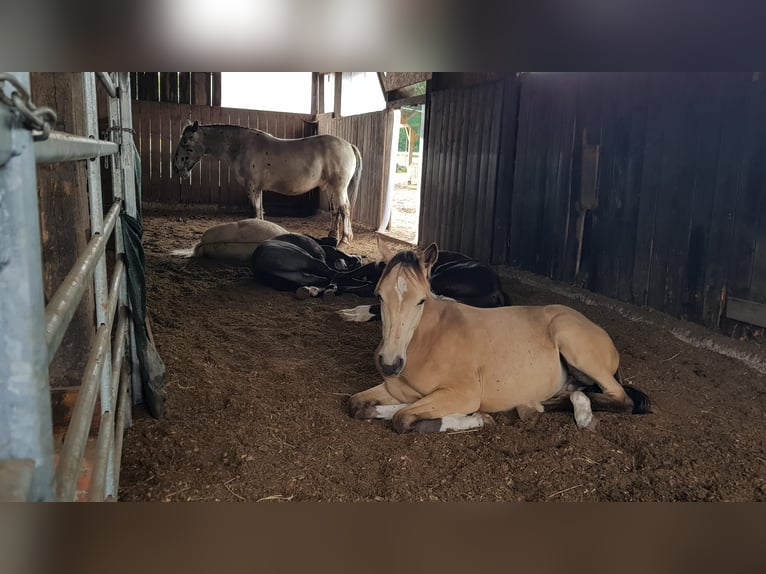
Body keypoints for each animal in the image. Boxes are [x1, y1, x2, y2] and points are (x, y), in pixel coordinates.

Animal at [172, 121, 363, 245]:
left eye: (185, 142)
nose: (176, 167)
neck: (241, 146)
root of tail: (349, 145)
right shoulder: (258, 189)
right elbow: (260, 212)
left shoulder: (252, 188)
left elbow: (254, 212)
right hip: (330, 188)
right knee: (336, 210)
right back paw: (333, 236)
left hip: (338, 187)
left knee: (344, 208)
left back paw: (344, 239)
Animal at [348, 242, 652, 433]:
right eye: (379, 295)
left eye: (421, 300)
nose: (390, 364)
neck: (429, 341)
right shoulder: (394, 390)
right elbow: (357, 405)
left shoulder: (463, 394)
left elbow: (403, 418)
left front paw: (477, 419)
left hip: (573, 342)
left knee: (622, 399)